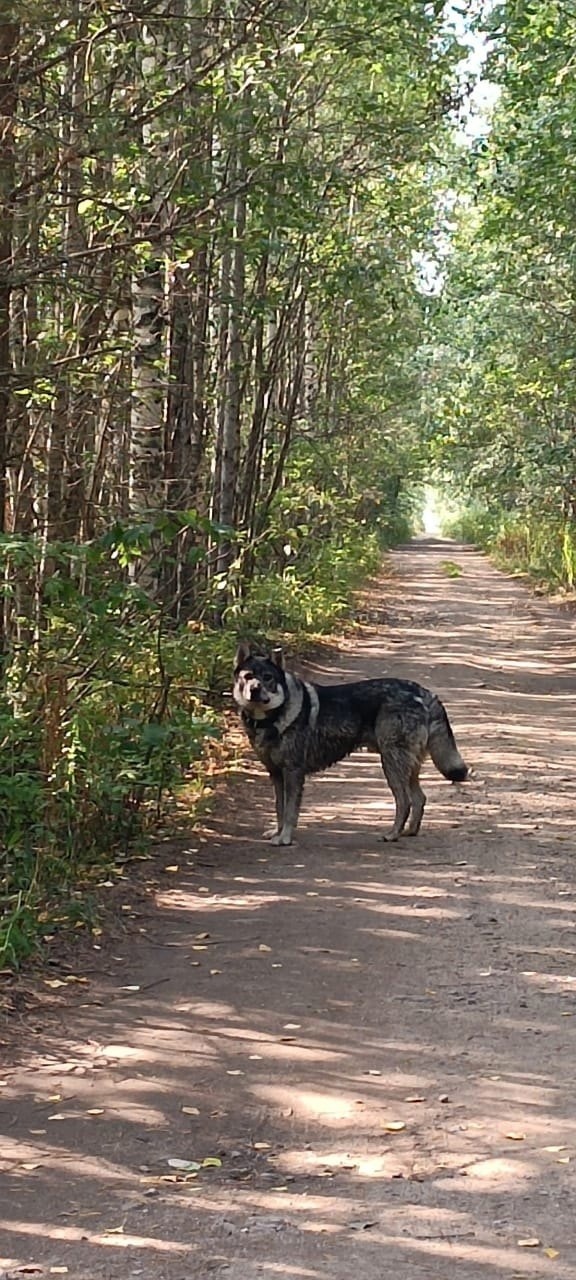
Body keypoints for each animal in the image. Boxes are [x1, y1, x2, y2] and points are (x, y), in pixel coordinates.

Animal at [234, 645, 468, 844]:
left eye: (267, 678)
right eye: (247, 677)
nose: (254, 690)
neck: (270, 718)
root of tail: (423, 693)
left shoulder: (293, 773)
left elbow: (290, 811)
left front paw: (284, 838)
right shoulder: (275, 774)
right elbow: (279, 808)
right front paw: (277, 832)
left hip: (391, 764)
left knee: (405, 801)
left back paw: (393, 834)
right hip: (407, 765)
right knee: (419, 798)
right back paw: (409, 831)